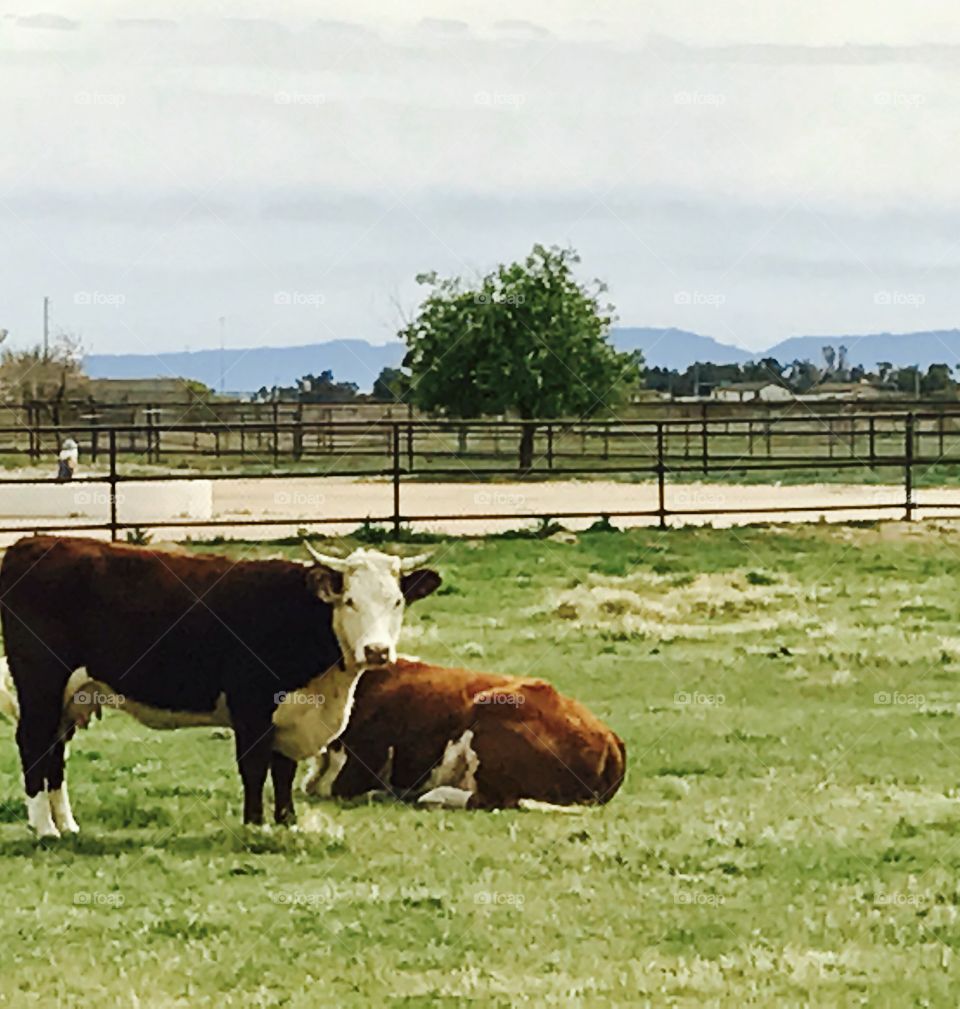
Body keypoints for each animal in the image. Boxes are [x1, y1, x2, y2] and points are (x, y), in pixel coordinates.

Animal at [0, 536, 442, 835]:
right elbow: (255, 768)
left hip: (68, 697)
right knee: (33, 744)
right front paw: (255, 825)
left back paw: (67, 825)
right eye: (349, 600)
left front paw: (287, 822)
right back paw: (44, 829)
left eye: (397, 602)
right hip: (41, 686)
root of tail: (31, 543)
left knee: (54, 752)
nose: (378, 651)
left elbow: (283, 771)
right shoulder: (252, 708)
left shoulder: (290, 715)